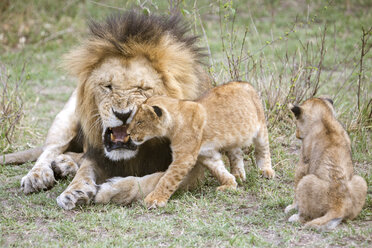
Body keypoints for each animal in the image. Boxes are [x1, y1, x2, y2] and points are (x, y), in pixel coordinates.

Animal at [10, 11, 212, 209]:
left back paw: (64, 164)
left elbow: (154, 181)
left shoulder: (193, 168)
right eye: (108, 86)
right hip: (66, 117)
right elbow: (84, 172)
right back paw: (38, 176)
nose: (123, 115)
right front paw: (73, 191)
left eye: (143, 88)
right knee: (50, 149)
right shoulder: (97, 155)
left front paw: (107, 191)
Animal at [96, 81, 276, 207]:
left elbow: (167, 180)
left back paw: (266, 171)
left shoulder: (184, 158)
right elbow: (219, 170)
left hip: (260, 127)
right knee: (236, 153)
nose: (128, 134)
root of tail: (245, 83)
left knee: (263, 149)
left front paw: (154, 199)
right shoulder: (207, 154)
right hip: (234, 137)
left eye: (139, 122)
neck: (177, 116)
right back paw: (238, 174)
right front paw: (230, 183)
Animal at [284, 97, 366, 229]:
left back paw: (295, 217)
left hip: (307, 181)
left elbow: (296, 186)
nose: (296, 134)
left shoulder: (303, 162)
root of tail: (338, 206)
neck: (325, 118)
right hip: (361, 181)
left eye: (296, 120)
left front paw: (291, 207)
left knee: (306, 217)